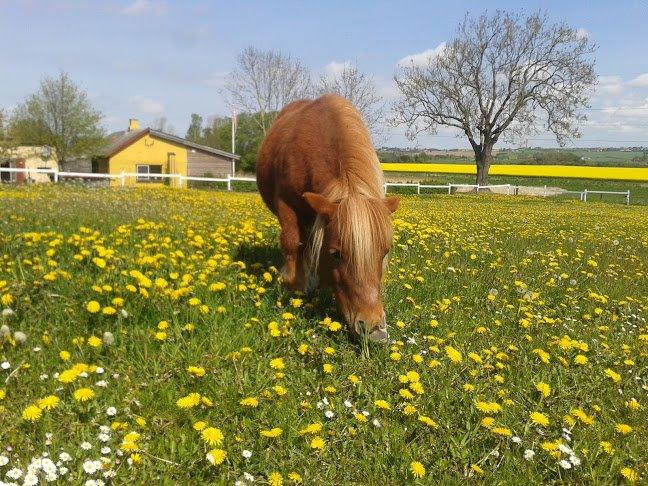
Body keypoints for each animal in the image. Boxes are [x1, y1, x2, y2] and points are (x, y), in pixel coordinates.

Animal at [256, 94, 398, 342]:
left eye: (384, 252)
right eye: (336, 254)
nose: (374, 330)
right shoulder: (285, 205)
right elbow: (291, 244)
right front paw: (293, 286)